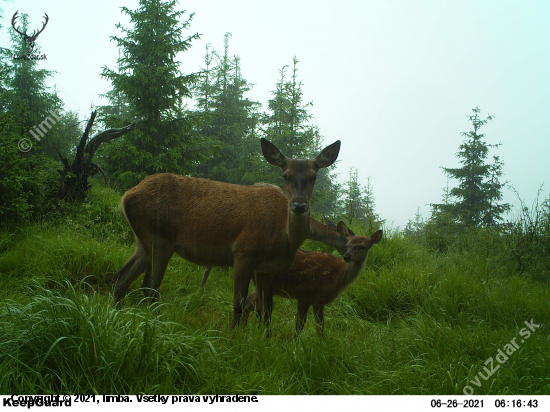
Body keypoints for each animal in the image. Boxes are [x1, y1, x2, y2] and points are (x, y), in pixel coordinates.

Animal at [246, 222, 384, 334]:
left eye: (362, 246)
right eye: (348, 244)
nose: (347, 256)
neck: (338, 274)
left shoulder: (319, 300)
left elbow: (320, 326)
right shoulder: (305, 294)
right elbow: (300, 325)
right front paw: (295, 345)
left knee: (251, 304)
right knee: (252, 305)